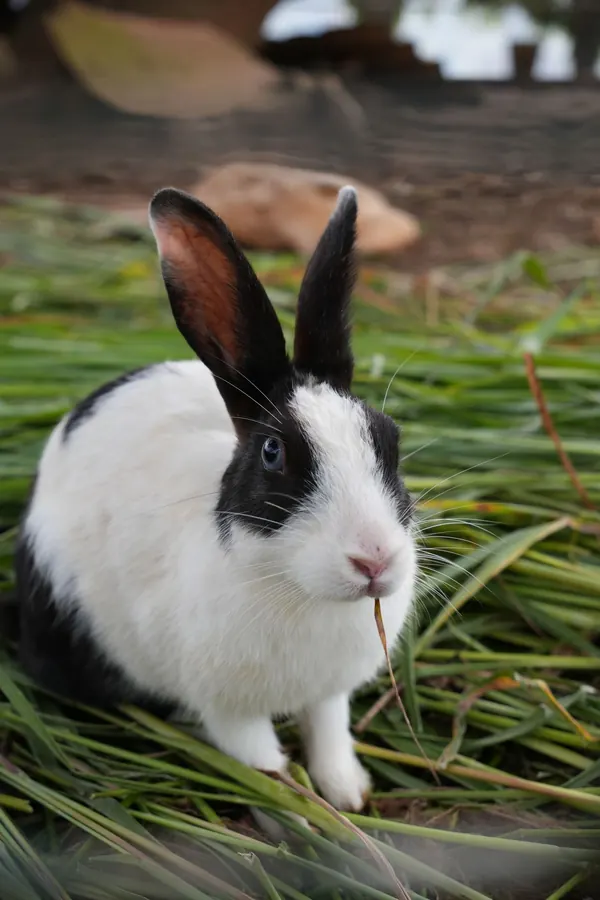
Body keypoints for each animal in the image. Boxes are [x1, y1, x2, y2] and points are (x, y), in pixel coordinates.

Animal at [15, 185, 417, 813]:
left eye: (389, 439)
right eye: (273, 453)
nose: (374, 560)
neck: (298, 590)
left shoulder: (328, 694)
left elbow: (329, 734)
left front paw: (348, 794)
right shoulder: (229, 711)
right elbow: (262, 762)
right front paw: (302, 811)